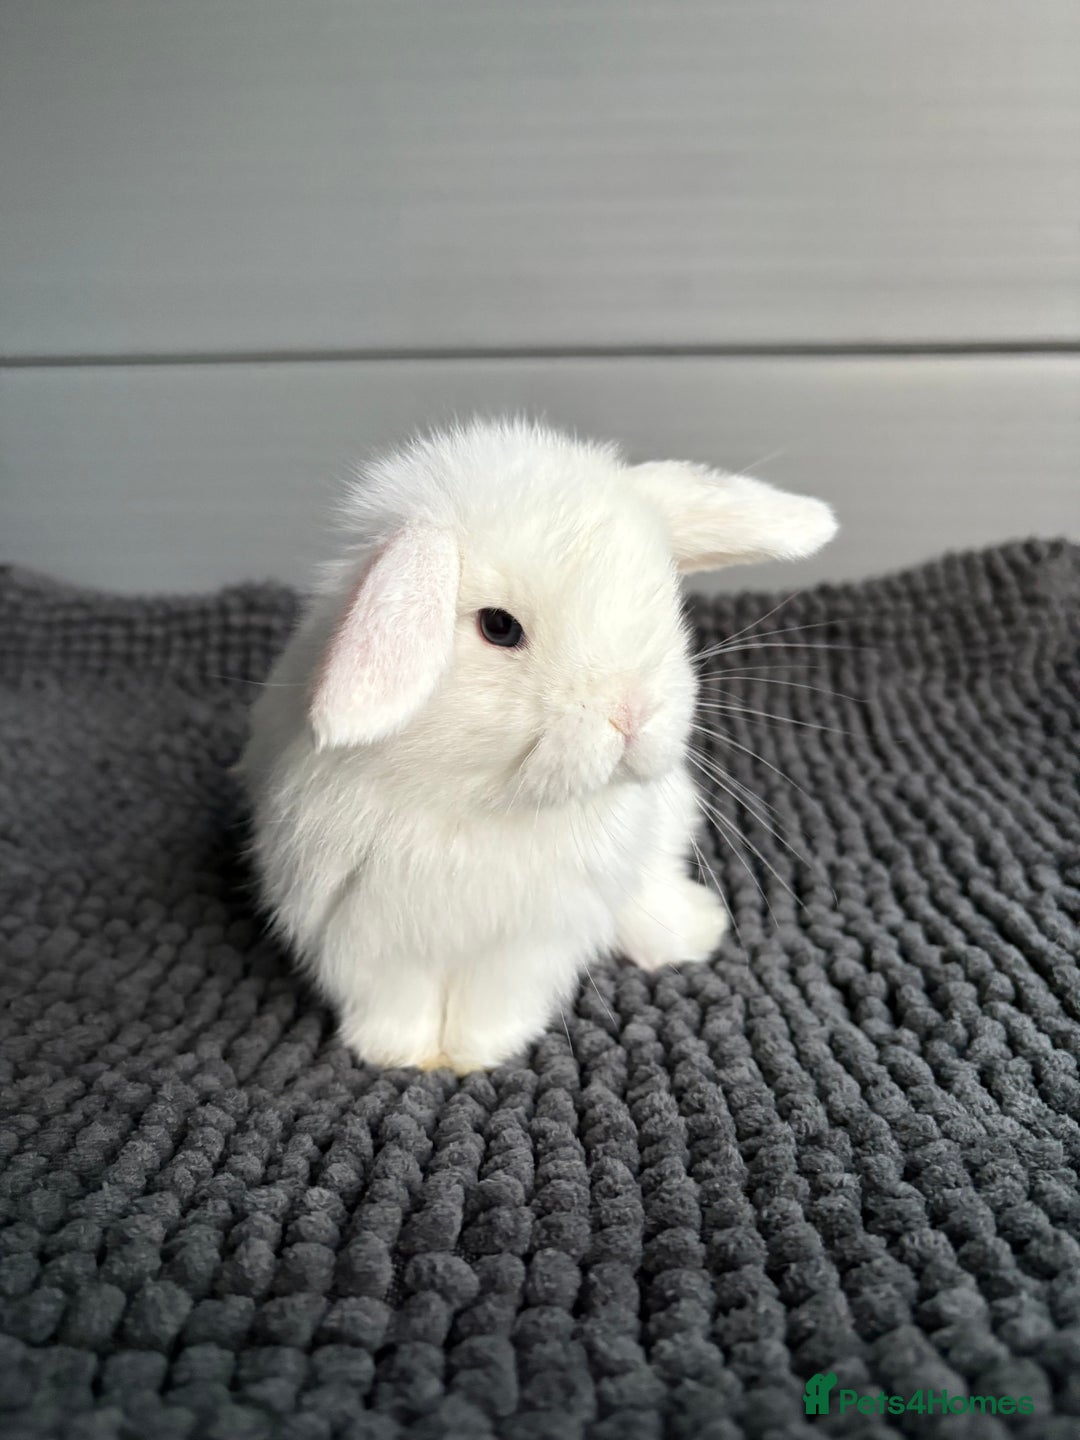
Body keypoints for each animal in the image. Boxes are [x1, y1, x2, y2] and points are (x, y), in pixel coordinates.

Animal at [237, 417, 837, 1073]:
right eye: (499, 627)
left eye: (663, 597)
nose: (632, 713)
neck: (471, 805)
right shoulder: (359, 930)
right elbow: (395, 998)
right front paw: (402, 1055)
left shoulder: (531, 940)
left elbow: (495, 997)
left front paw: (480, 1052)